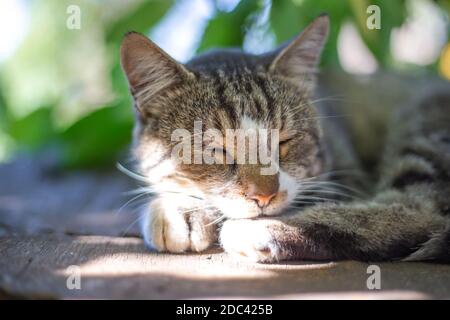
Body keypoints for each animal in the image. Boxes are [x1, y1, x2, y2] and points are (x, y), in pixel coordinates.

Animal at [119, 14, 450, 262]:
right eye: (216, 151)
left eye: (284, 142)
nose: (265, 196)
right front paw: (183, 209)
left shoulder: (345, 177)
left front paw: (182, 210)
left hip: (423, 124)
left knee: (421, 211)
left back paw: (259, 230)